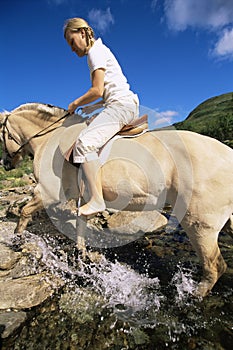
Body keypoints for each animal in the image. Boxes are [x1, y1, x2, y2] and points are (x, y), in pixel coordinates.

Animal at [0, 102, 233, 296]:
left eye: (1, 135)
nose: (6, 164)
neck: (51, 139)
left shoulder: (47, 193)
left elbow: (25, 212)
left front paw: (17, 240)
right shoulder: (82, 198)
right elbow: (80, 229)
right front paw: (81, 259)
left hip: (199, 224)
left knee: (214, 266)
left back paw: (193, 296)